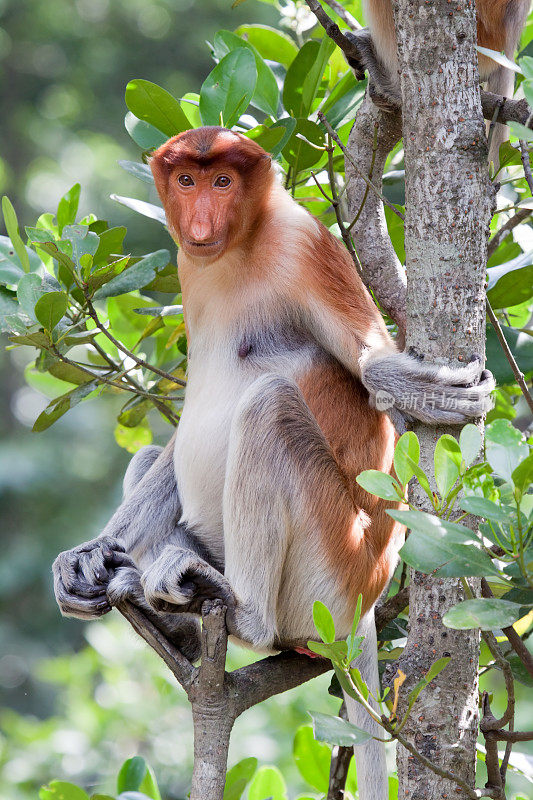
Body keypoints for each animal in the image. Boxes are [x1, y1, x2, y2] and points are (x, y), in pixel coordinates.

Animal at [52, 128, 492, 796]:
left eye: (224, 181)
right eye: (187, 181)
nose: (201, 222)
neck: (240, 248)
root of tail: (366, 603)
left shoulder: (303, 245)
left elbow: (370, 370)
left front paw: (416, 387)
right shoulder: (190, 269)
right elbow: (176, 445)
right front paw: (87, 559)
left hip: (329, 572)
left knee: (269, 405)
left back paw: (241, 613)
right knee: (156, 456)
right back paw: (167, 614)